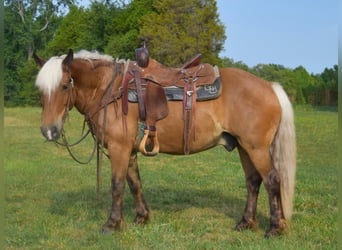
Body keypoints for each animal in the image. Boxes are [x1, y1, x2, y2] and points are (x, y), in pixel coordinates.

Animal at [35, 49, 296, 237]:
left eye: (65, 86)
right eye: (40, 91)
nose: (49, 131)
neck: (109, 89)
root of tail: (269, 86)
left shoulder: (119, 149)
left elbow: (117, 186)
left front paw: (112, 224)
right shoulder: (128, 150)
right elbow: (134, 183)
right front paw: (141, 217)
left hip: (256, 148)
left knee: (272, 180)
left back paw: (275, 228)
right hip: (244, 147)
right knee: (253, 182)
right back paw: (245, 223)